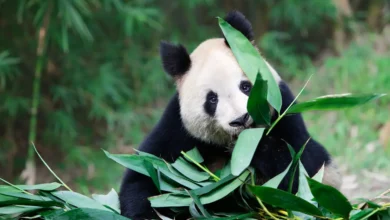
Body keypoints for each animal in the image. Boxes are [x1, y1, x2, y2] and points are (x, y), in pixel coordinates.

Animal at [119, 9, 342, 218]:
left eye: (245, 86)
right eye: (212, 99)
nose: (240, 119)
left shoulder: (284, 111)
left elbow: (304, 170)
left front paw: (260, 147)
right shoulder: (177, 129)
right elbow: (145, 174)